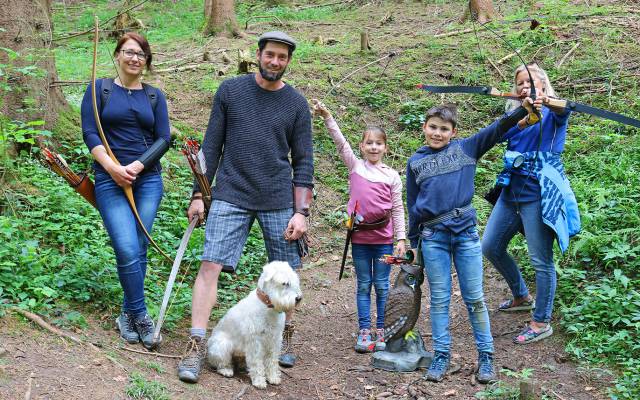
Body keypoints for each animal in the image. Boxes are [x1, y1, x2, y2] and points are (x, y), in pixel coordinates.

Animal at [208, 260, 302, 390]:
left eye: (295, 281)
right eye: (285, 283)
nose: (298, 298)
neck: (268, 307)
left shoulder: (275, 339)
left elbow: (272, 360)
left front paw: (273, 377)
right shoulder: (255, 341)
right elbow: (257, 363)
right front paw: (259, 381)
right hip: (222, 345)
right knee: (222, 362)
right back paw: (226, 370)